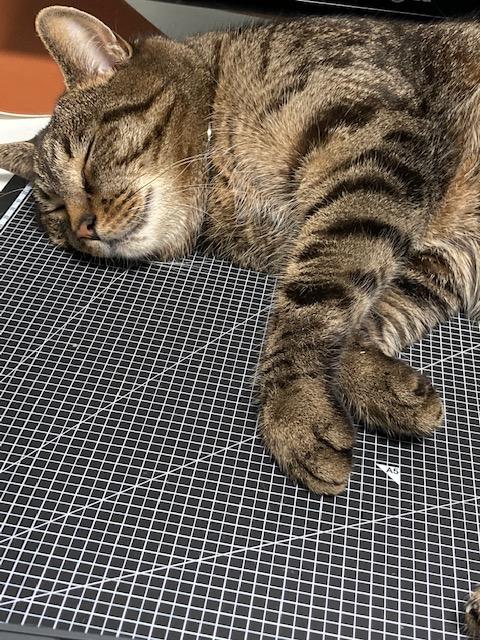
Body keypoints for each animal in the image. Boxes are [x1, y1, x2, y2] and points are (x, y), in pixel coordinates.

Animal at [0, 6, 479, 633]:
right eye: (55, 210)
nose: (81, 227)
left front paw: (293, 410)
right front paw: (375, 383)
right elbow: (374, 308)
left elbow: (310, 300)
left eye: (86, 157)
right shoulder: (443, 254)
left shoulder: (370, 140)